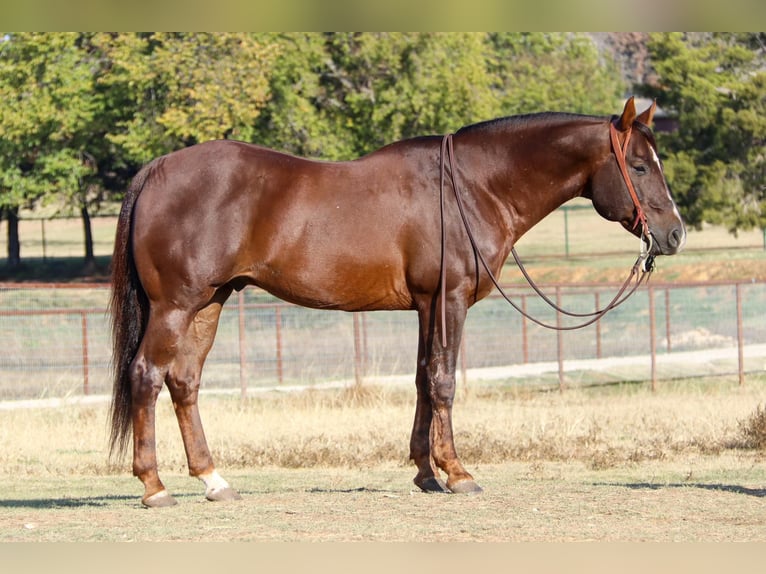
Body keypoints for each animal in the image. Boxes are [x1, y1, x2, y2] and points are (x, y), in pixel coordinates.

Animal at [109, 97, 688, 506]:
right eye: (639, 166)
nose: (674, 234)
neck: (472, 188)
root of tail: (158, 168)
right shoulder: (449, 300)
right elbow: (445, 381)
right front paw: (459, 473)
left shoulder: (427, 306)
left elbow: (423, 381)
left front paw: (426, 473)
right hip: (175, 306)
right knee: (146, 376)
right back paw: (154, 487)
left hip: (209, 303)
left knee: (184, 383)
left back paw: (214, 480)